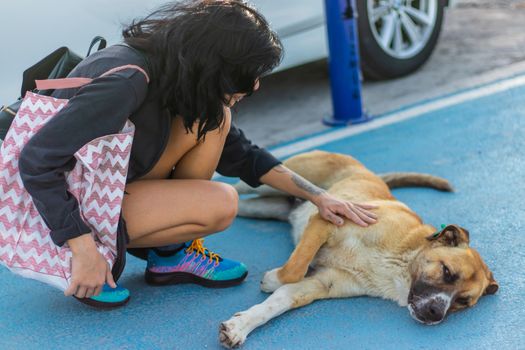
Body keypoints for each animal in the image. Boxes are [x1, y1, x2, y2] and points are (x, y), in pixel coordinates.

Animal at [219, 150, 498, 348]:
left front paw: (239, 326)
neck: (399, 263)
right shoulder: (325, 221)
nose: (435, 313)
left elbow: (278, 302)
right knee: (233, 183)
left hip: (260, 206)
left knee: (234, 199)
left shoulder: (321, 284)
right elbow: (294, 270)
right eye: (447, 271)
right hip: (267, 179)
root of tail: (367, 170)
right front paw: (272, 279)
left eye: (462, 301)